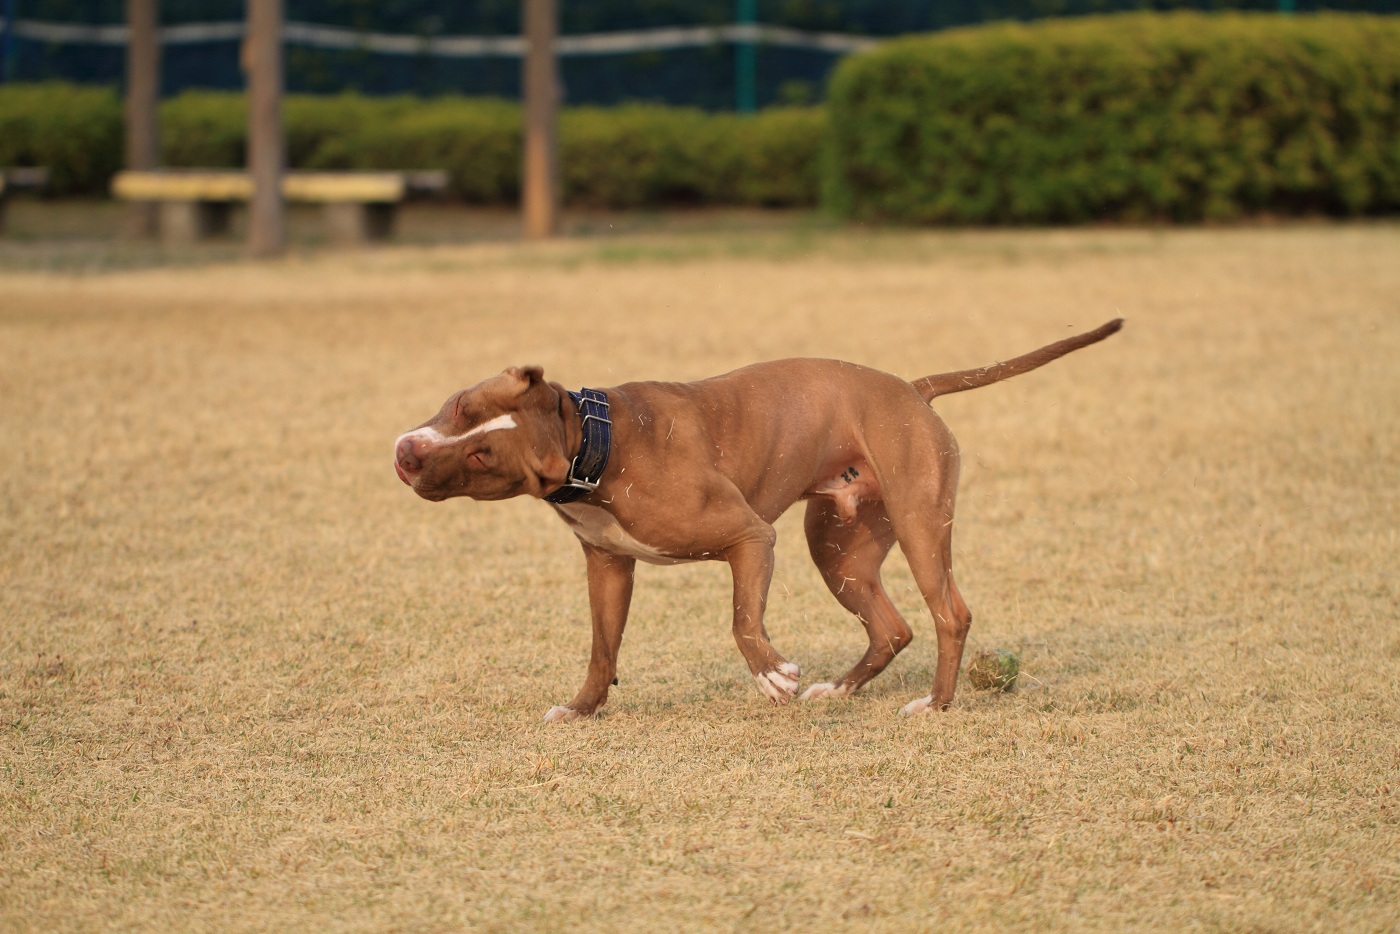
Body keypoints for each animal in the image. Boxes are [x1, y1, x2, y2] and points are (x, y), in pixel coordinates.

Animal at [394, 319, 1122, 720]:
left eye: (484, 455)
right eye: (460, 407)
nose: (406, 453)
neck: (596, 442)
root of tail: (912, 389)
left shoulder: (750, 536)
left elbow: (743, 619)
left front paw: (772, 675)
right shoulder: (609, 565)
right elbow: (603, 650)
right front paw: (580, 710)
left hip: (919, 526)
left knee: (950, 614)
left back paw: (935, 706)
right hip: (838, 548)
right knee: (891, 627)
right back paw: (839, 691)